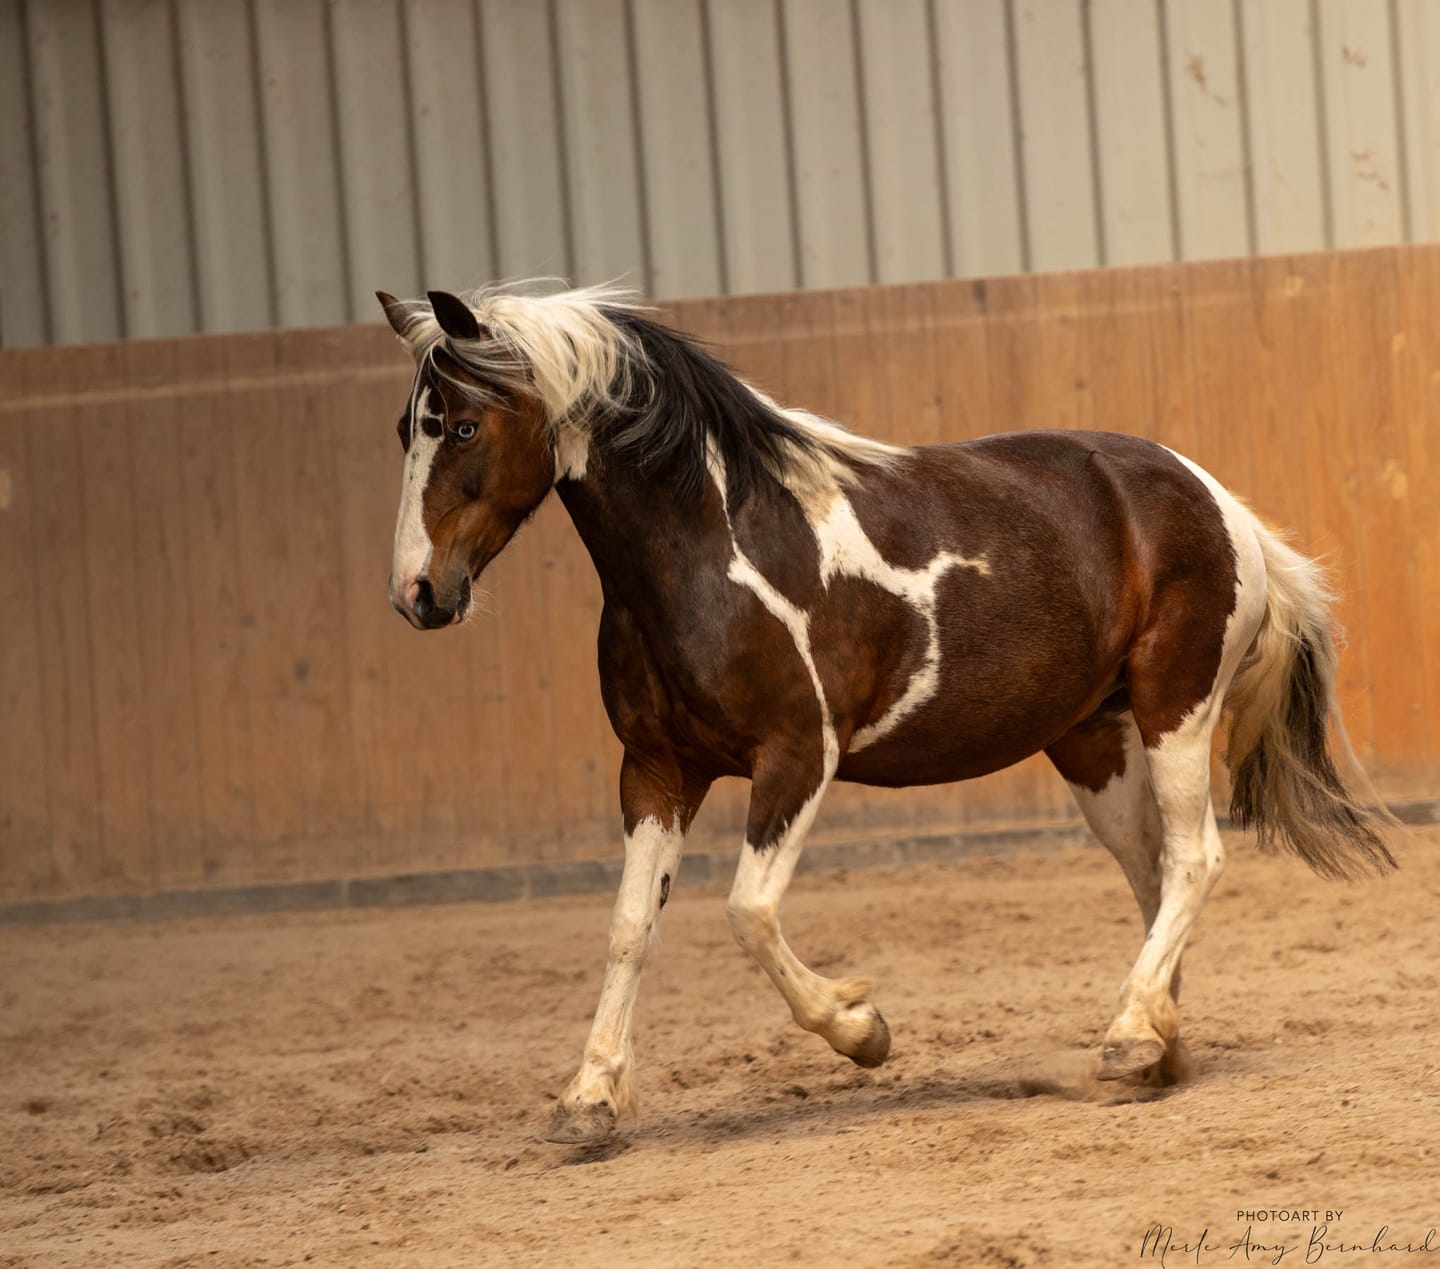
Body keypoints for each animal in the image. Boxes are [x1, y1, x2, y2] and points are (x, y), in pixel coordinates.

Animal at [374, 281, 1394, 1145]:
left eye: (462, 424)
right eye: (403, 430)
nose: (418, 593)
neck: (713, 552)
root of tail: (1217, 501)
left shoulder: (798, 756)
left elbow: (748, 912)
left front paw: (863, 1029)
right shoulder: (657, 769)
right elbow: (631, 927)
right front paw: (588, 1099)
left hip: (1174, 705)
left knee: (1195, 859)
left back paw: (1131, 1038)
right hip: (1092, 740)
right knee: (1152, 876)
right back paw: (1156, 1044)